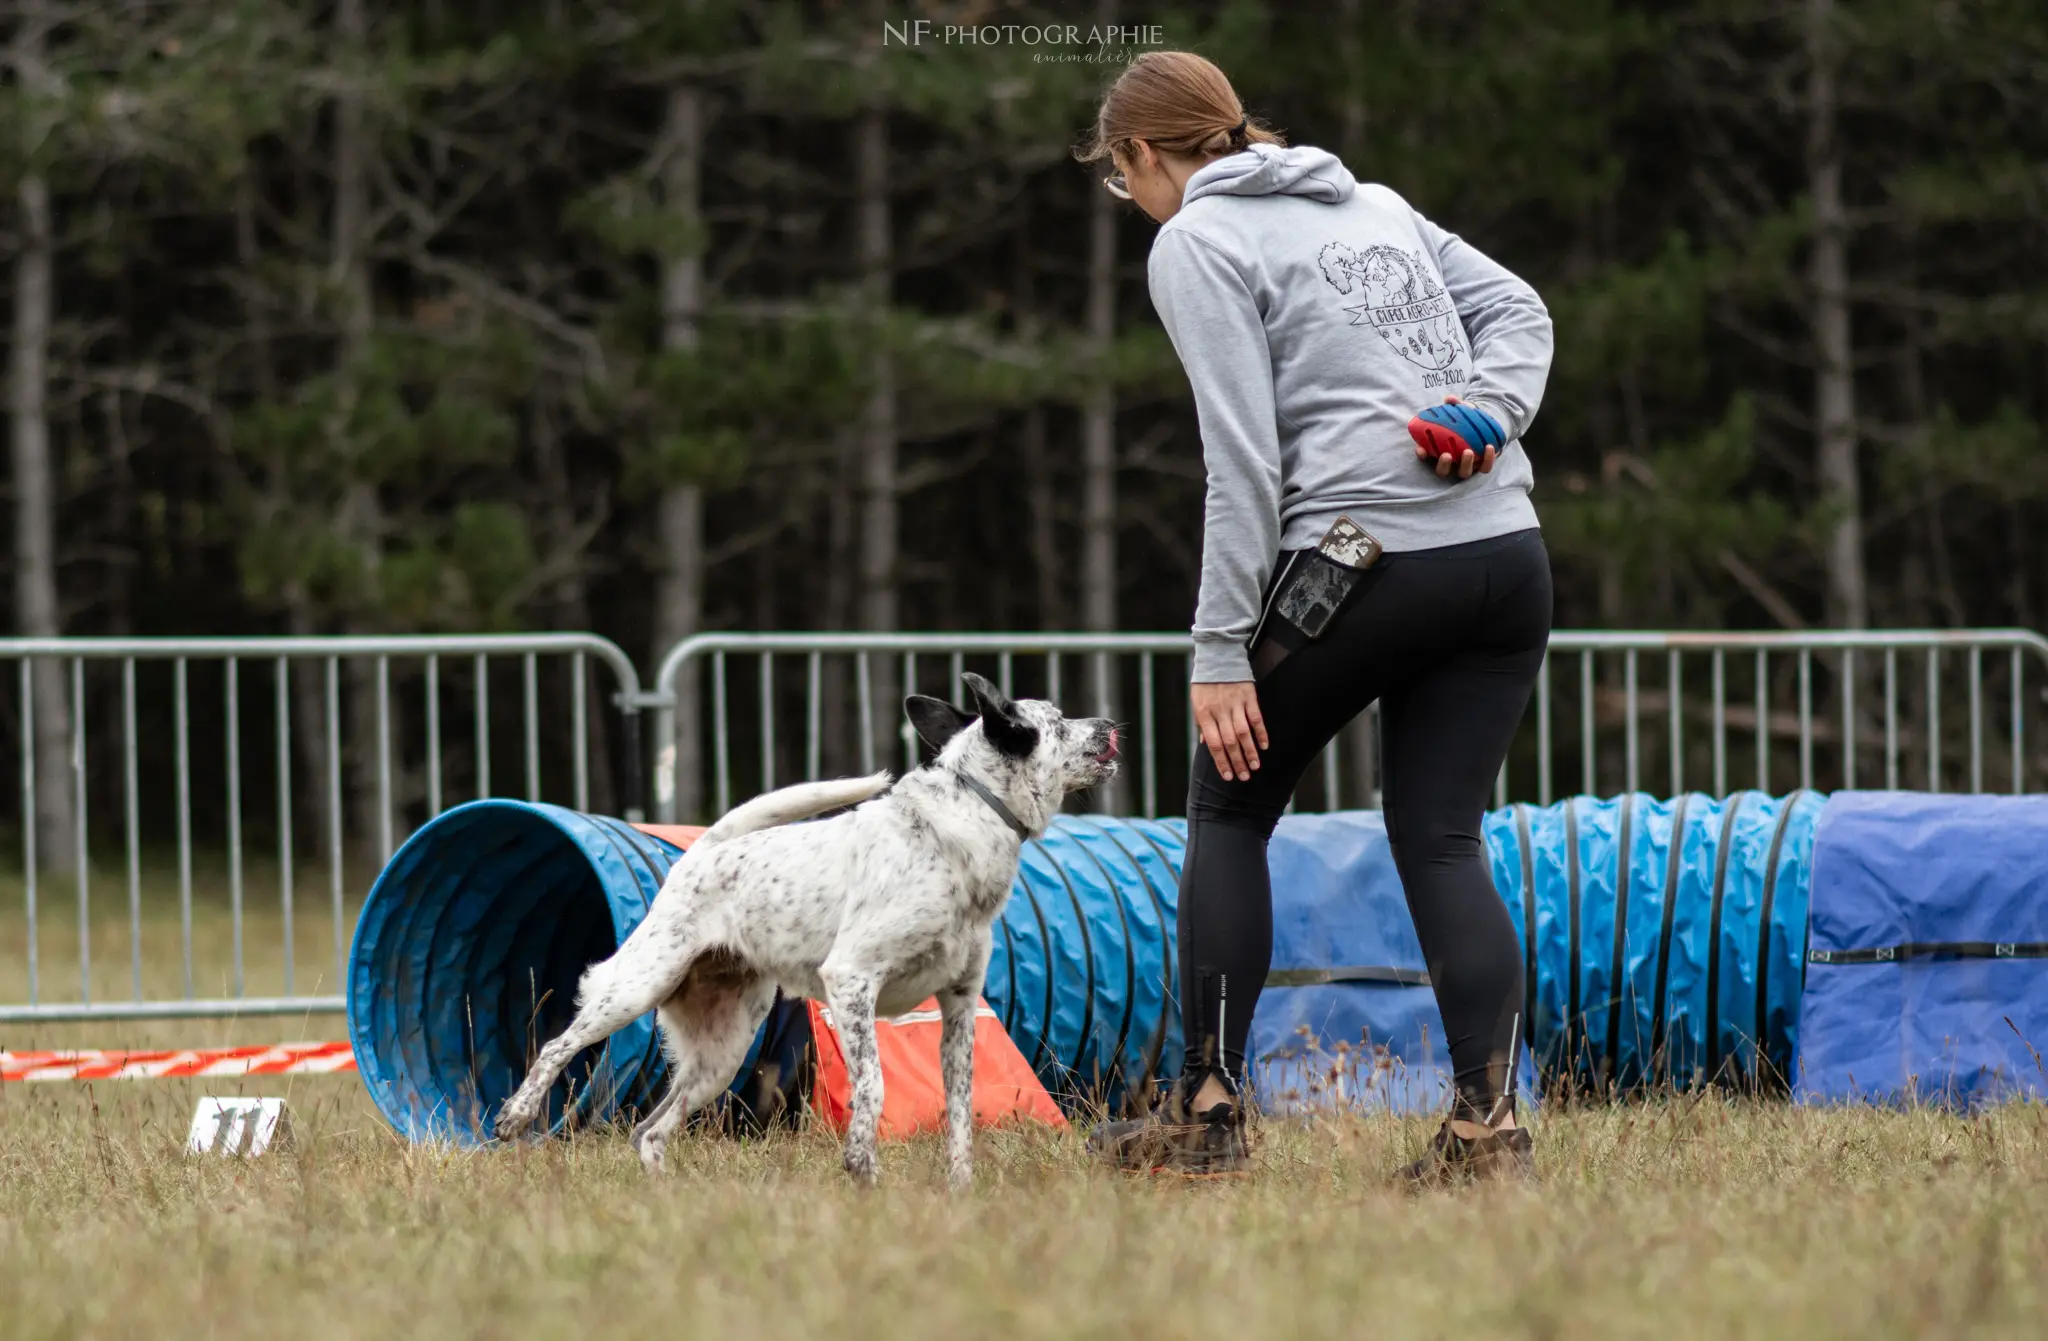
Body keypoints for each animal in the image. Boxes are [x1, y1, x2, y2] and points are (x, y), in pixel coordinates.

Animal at [493, 675, 1122, 1187]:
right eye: (1057, 721)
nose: (1111, 724)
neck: (967, 824)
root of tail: (704, 851)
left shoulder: (960, 1005)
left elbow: (962, 1113)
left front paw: (959, 1191)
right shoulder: (852, 982)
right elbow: (872, 1088)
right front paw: (862, 1171)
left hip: (722, 1051)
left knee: (649, 1131)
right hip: (638, 988)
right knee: (557, 1047)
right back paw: (515, 1116)